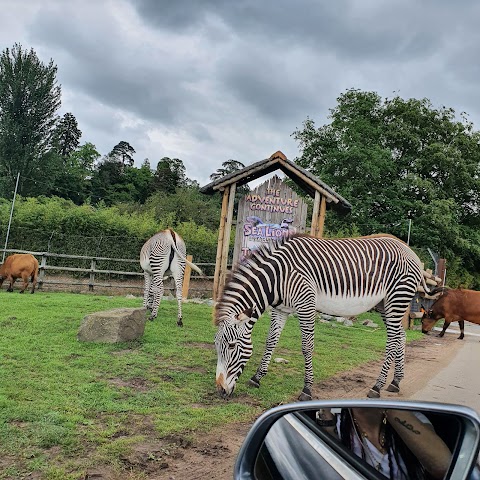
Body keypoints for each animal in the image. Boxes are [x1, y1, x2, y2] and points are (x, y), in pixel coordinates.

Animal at [214, 234, 428, 400]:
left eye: (231, 346)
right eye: (216, 345)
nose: (220, 390)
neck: (277, 277)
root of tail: (410, 250)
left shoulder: (305, 304)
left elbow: (307, 347)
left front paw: (307, 389)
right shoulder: (281, 309)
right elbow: (271, 341)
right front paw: (257, 378)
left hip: (397, 298)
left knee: (392, 340)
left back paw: (377, 387)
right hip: (385, 304)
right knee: (400, 336)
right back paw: (395, 382)